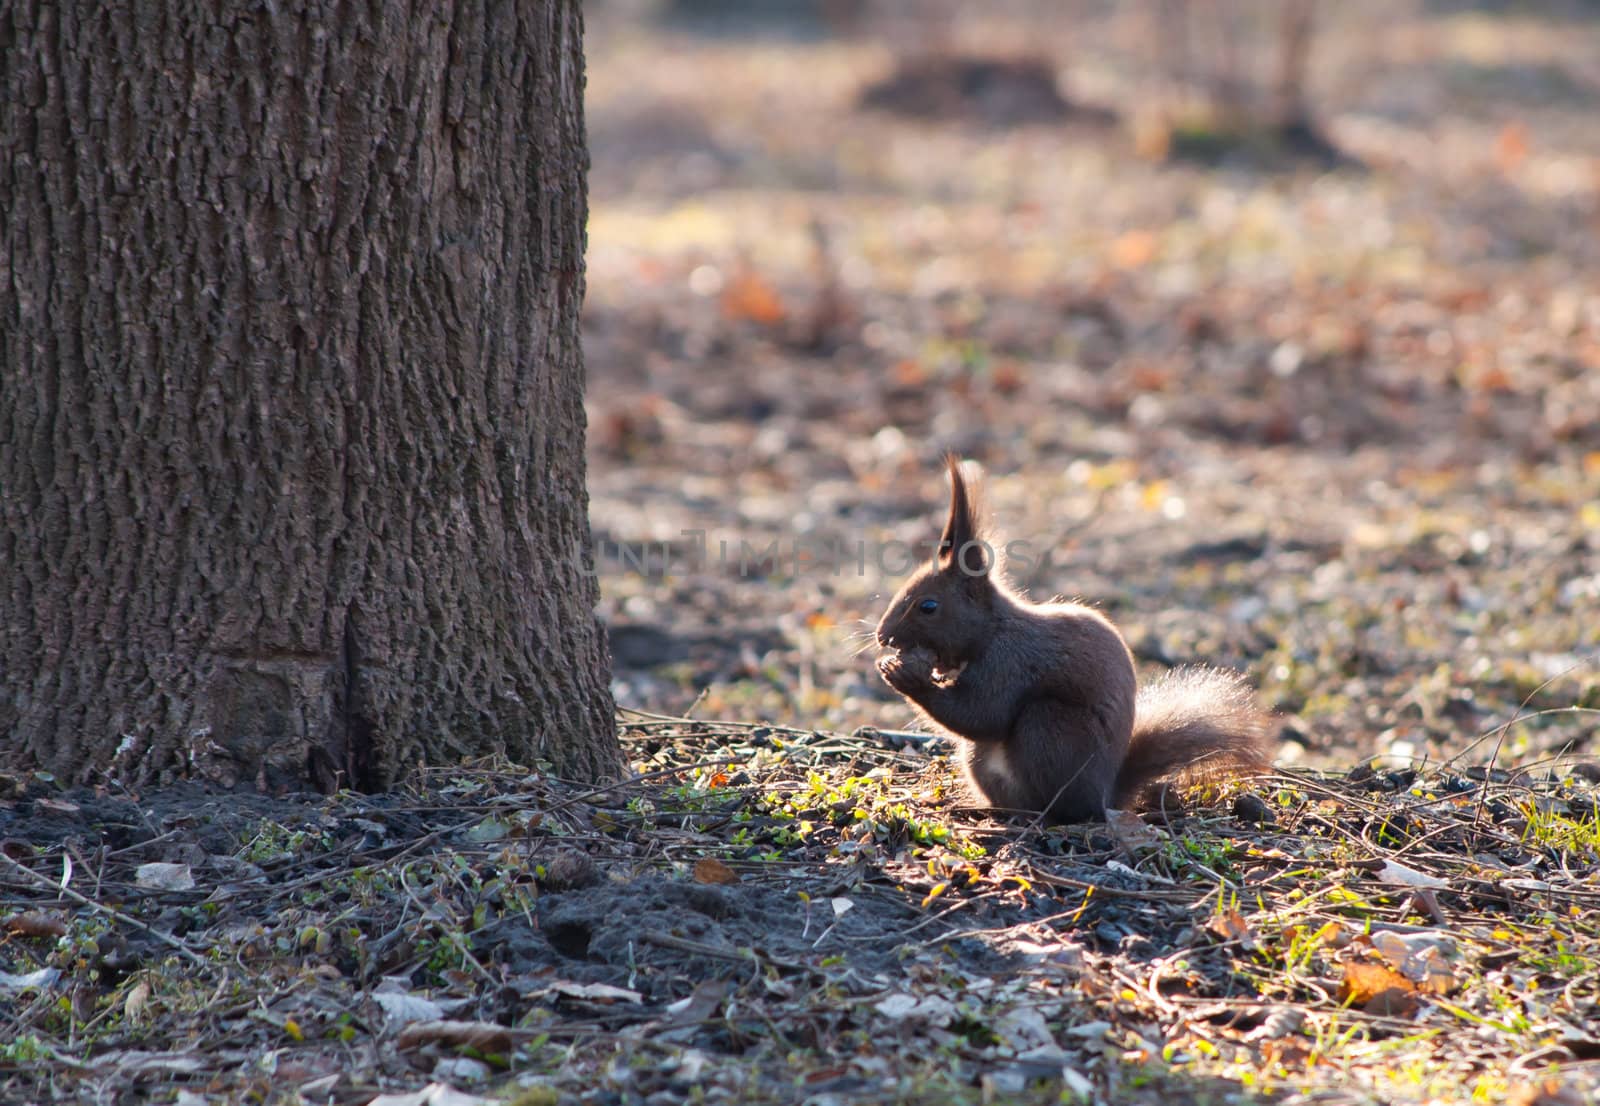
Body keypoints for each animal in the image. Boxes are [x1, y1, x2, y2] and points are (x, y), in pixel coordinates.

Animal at [876, 454, 1273, 825]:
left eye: (928, 606)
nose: (882, 636)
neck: (993, 629)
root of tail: (1105, 795)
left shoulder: (1011, 662)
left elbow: (983, 714)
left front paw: (905, 677)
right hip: (981, 756)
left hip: (1049, 727)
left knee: (1057, 805)